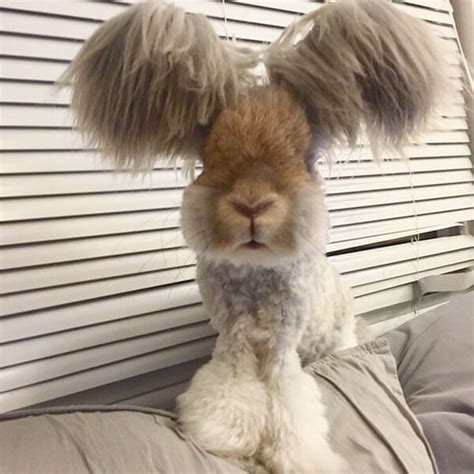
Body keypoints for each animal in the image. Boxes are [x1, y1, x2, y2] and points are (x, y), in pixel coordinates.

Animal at [62, 0, 448, 470]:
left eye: (304, 158)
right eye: (209, 156)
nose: (250, 205)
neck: (255, 270)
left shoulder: (283, 342)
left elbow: (287, 398)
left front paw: (298, 457)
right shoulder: (233, 333)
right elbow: (229, 383)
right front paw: (226, 436)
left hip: (336, 336)